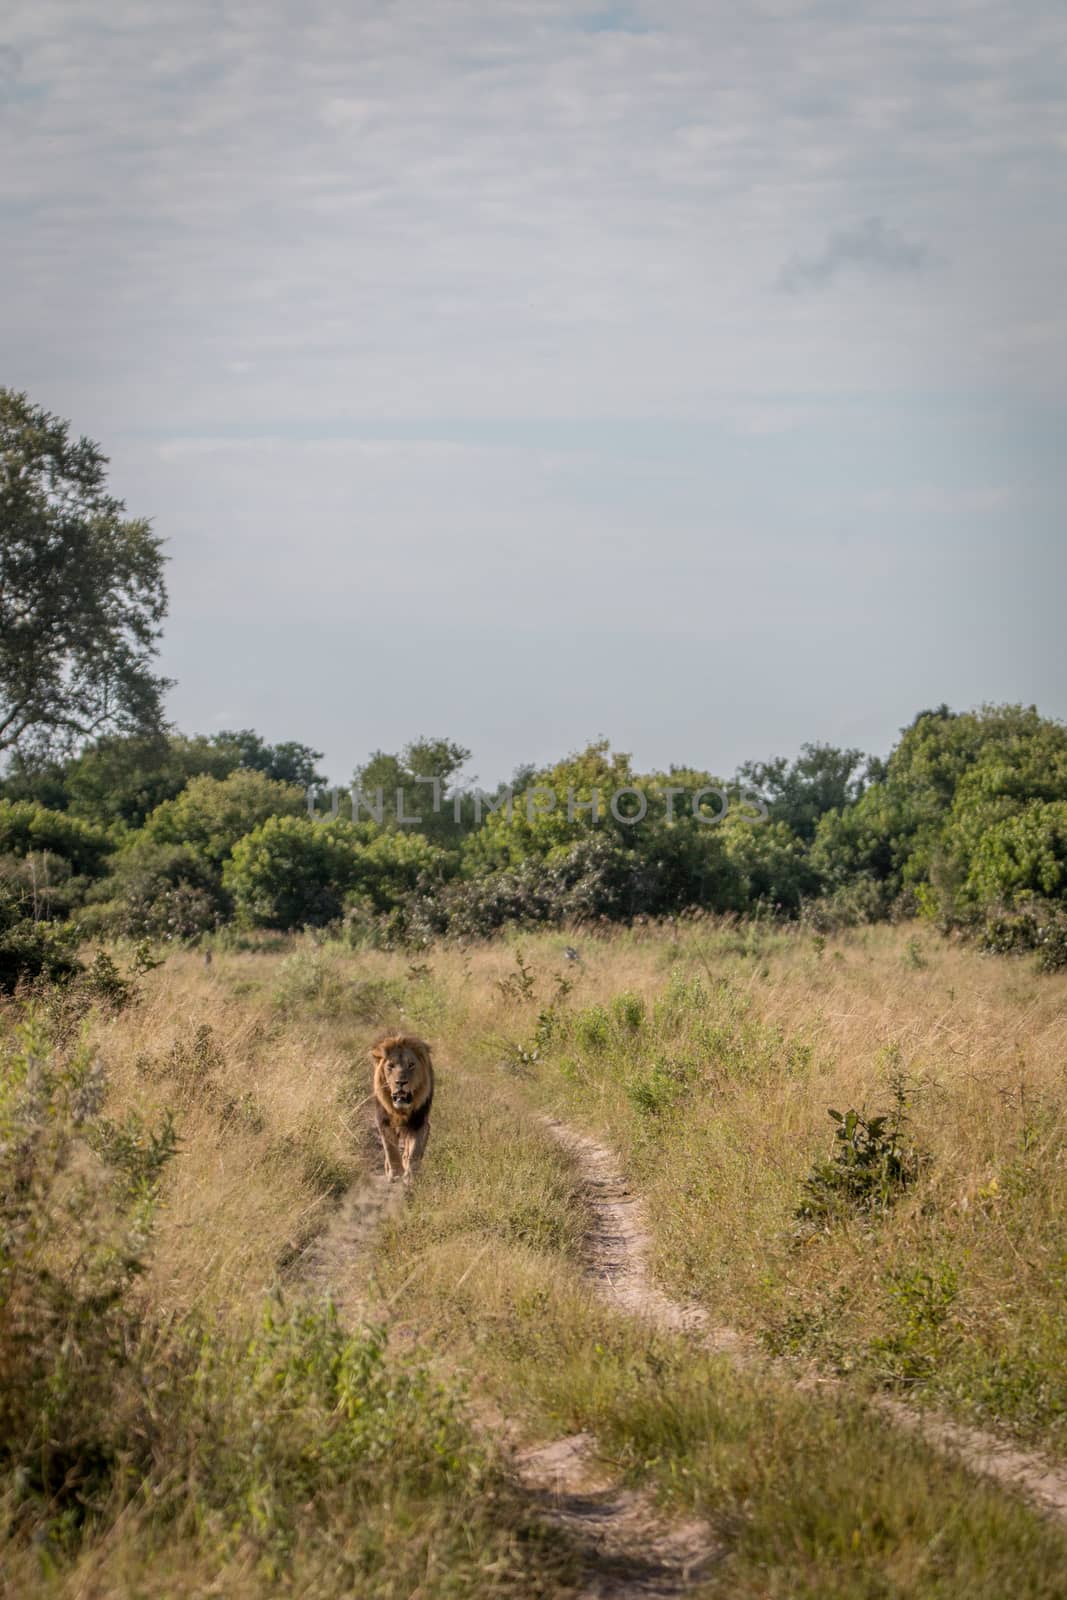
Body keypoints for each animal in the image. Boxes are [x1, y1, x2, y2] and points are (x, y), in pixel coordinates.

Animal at [369, 1030, 431, 1184]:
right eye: (391, 1066)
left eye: (411, 1065)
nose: (401, 1082)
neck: (401, 1110)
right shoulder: (384, 1121)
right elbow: (391, 1150)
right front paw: (396, 1174)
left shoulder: (419, 1122)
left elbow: (415, 1151)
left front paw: (410, 1177)